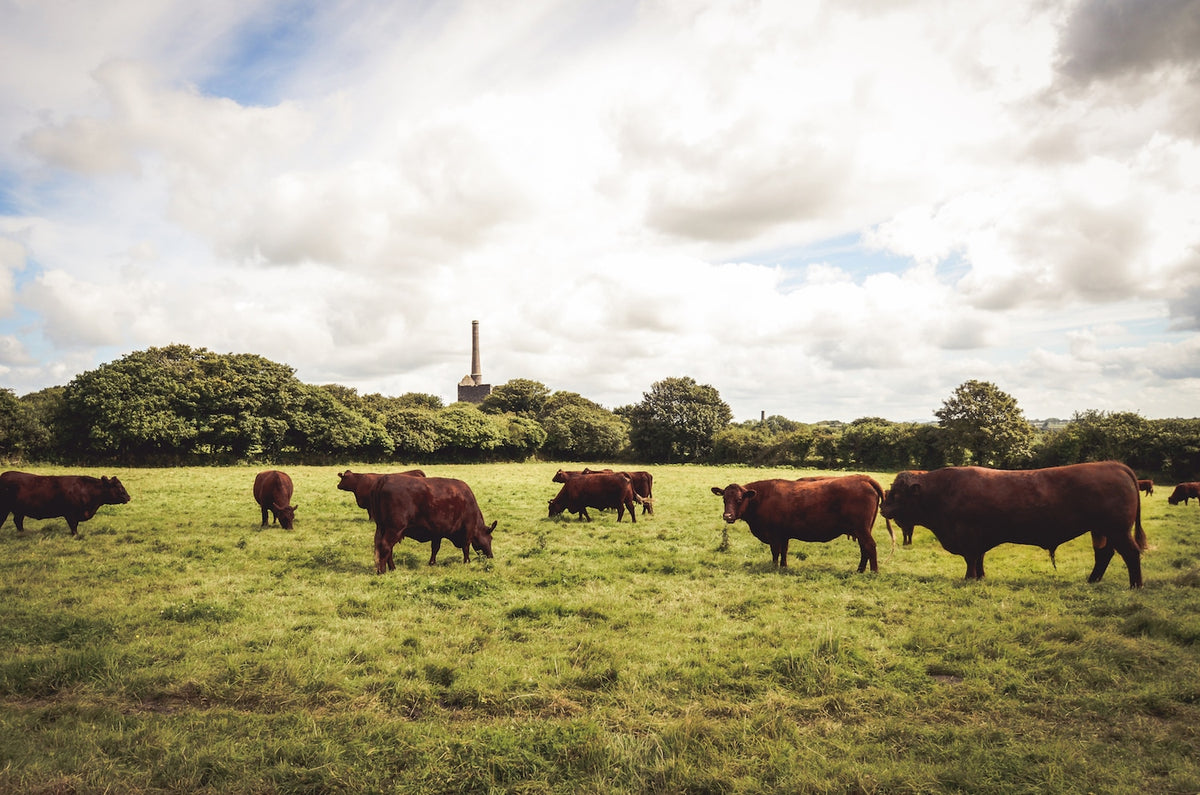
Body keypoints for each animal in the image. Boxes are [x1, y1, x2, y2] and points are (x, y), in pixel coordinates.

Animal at [0, 470, 131, 536]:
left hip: (19, 510)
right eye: (118, 486)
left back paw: (22, 533)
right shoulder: (70, 514)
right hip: (5, 508)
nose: (128, 497)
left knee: (18, 521)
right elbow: (73, 526)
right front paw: (75, 535)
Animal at [711, 475, 892, 572]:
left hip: (862, 529)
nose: (727, 516)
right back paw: (860, 570)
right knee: (864, 548)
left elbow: (775, 552)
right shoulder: (784, 534)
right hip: (862, 529)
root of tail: (863, 478)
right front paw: (783, 567)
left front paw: (774, 567)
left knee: (870, 546)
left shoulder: (774, 534)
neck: (762, 498)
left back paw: (873, 572)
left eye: (739, 499)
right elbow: (784, 551)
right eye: (724, 499)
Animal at [881, 461, 1147, 587]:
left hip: (1118, 530)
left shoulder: (968, 538)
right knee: (1104, 555)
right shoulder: (979, 540)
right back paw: (1092, 581)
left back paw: (1136, 586)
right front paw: (980, 577)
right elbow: (979, 559)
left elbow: (971, 560)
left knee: (1131, 554)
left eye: (898, 494)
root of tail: (1114, 465)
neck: (942, 492)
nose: (883, 508)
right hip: (1102, 531)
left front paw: (969, 578)